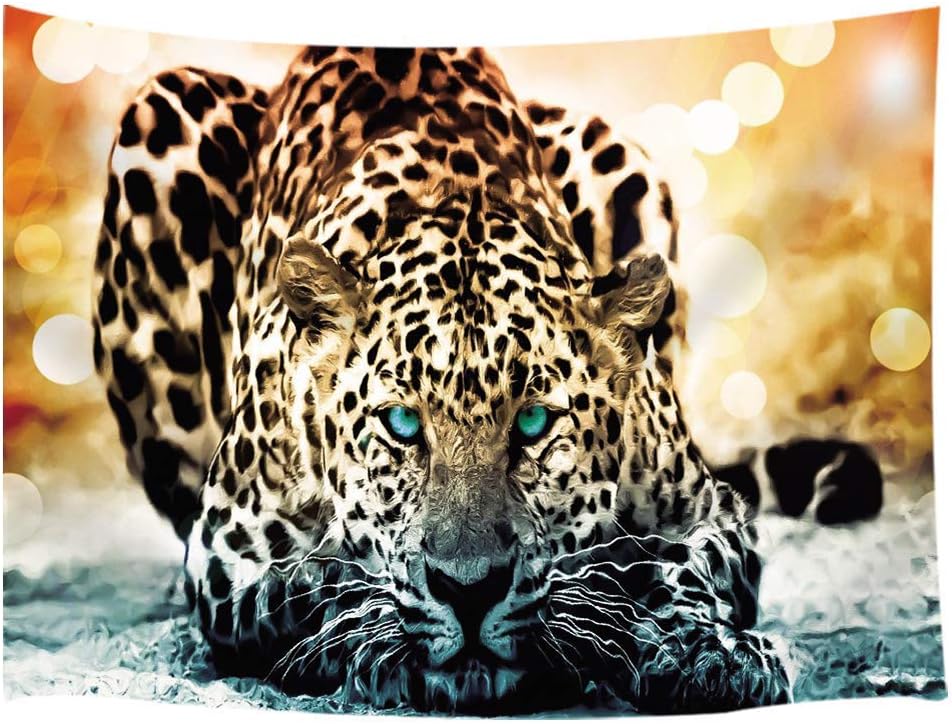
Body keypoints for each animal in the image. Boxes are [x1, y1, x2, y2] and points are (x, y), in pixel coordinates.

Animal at [91, 46, 883, 714]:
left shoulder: (711, 509)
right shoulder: (225, 555)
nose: (468, 591)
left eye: (533, 422)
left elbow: (688, 564)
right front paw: (379, 636)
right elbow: (311, 585)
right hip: (162, 116)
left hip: (620, 159)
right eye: (402, 424)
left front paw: (699, 646)